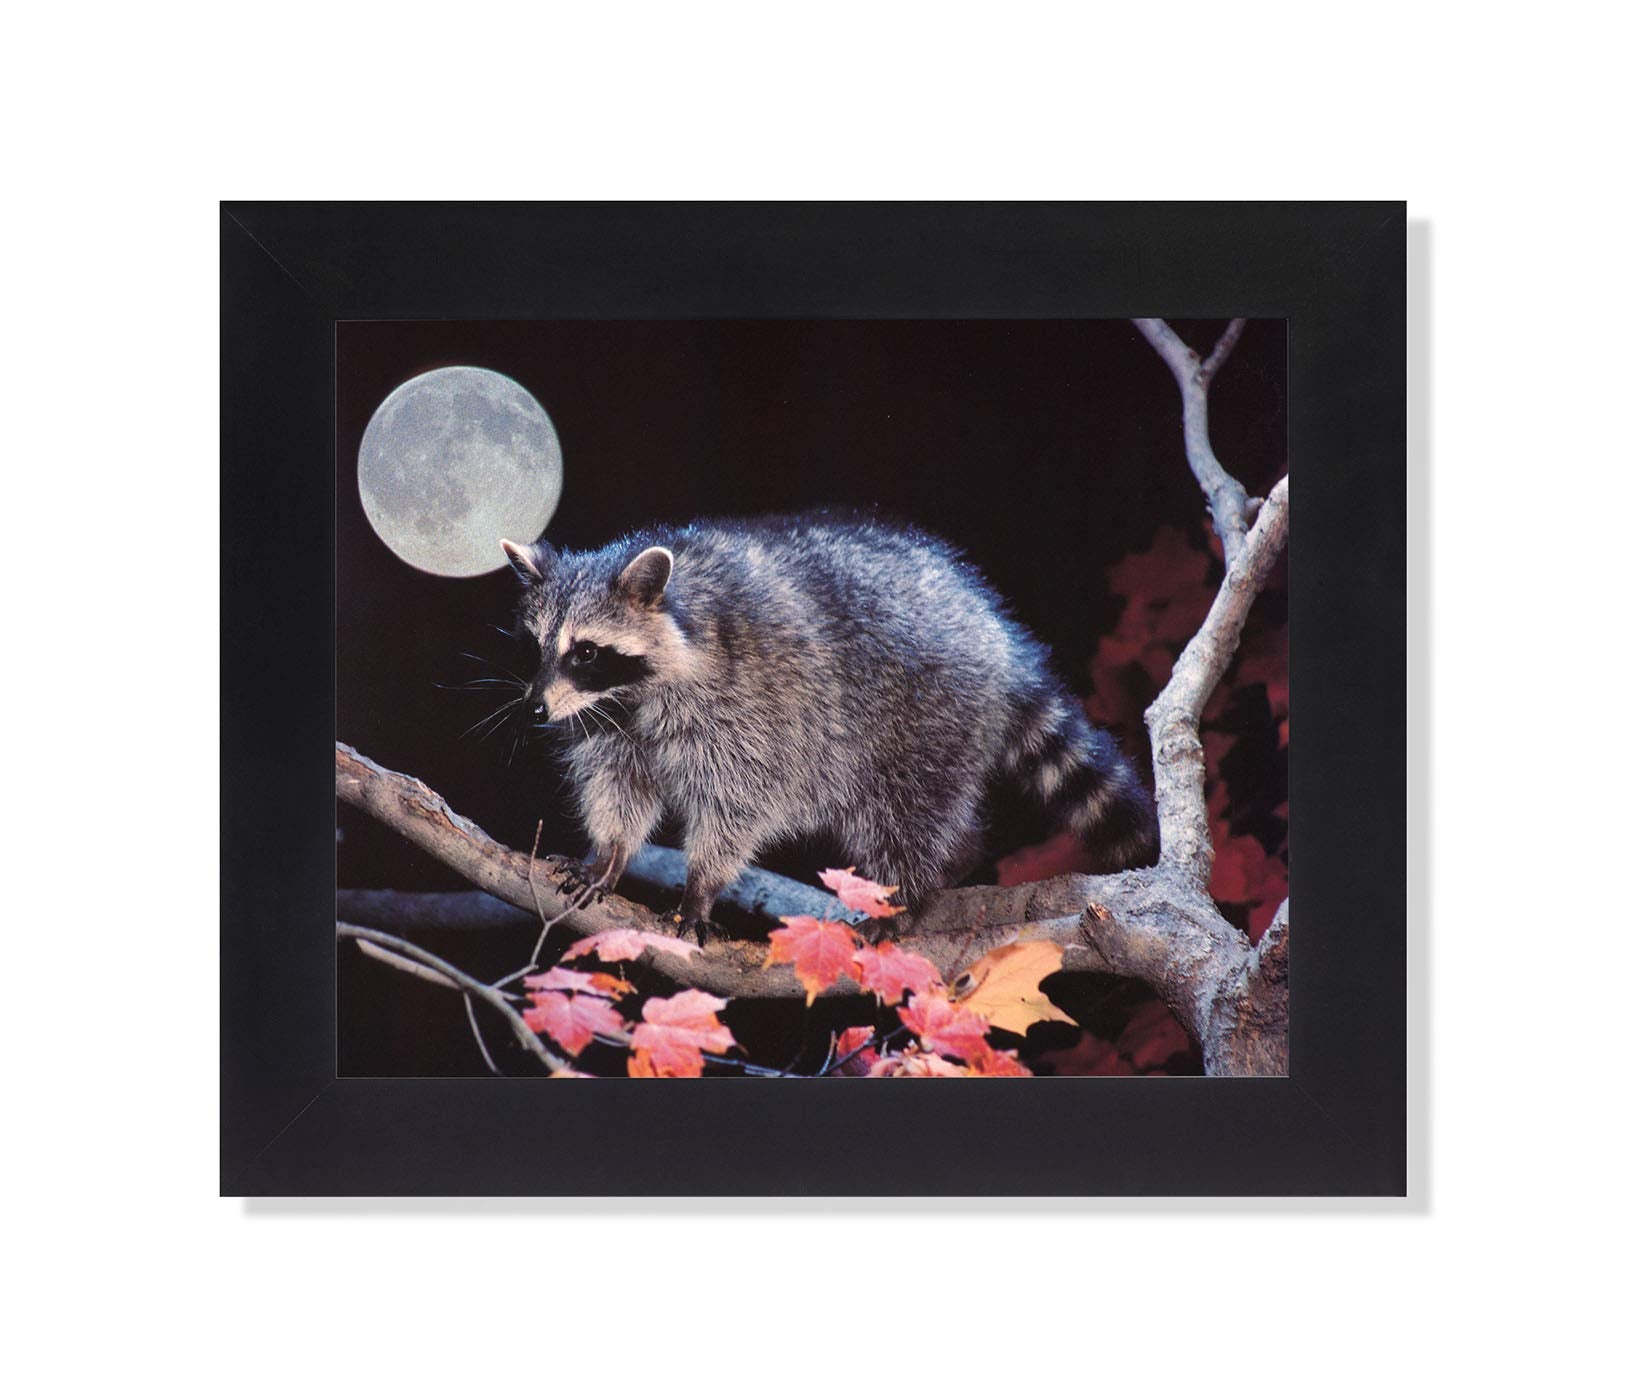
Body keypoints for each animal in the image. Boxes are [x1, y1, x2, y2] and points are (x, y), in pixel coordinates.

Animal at [498, 515, 1157, 930]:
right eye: (533, 647)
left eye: (586, 652)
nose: (534, 708)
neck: (631, 694)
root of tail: (993, 631)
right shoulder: (607, 725)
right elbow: (619, 786)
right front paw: (608, 853)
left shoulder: (748, 706)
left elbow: (740, 801)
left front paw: (701, 884)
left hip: (927, 715)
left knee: (906, 810)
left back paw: (910, 887)